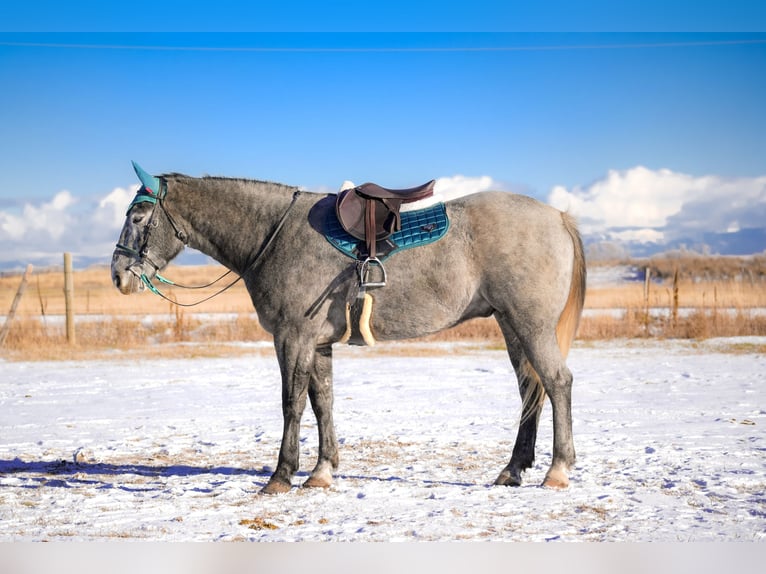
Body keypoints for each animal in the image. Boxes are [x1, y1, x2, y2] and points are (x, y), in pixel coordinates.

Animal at [111, 163, 586, 494]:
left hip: (530, 324)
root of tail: (558, 215)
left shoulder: (292, 337)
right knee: (531, 389)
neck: (274, 235)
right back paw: (513, 469)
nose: (118, 274)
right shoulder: (318, 343)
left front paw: (281, 475)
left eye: (138, 216)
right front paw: (322, 471)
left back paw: (557, 470)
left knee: (557, 382)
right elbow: (323, 403)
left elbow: (292, 404)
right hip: (511, 324)